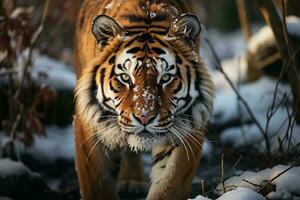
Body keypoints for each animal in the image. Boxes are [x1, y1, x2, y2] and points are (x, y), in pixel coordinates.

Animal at [74, 0, 214, 199]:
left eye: (165, 77)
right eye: (125, 77)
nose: (145, 118)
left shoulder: (188, 125)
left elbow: (170, 183)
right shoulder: (89, 125)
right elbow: (98, 184)